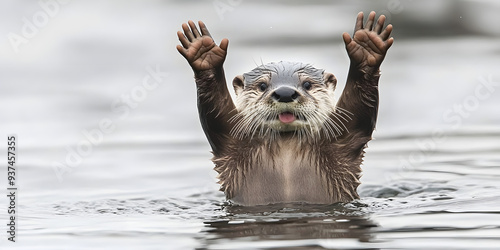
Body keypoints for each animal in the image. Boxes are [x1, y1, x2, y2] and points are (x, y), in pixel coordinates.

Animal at [176, 11, 394, 206]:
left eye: (307, 84)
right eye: (262, 85)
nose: (285, 93)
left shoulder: (344, 140)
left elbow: (357, 111)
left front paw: (366, 47)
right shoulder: (229, 140)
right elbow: (217, 115)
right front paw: (204, 54)